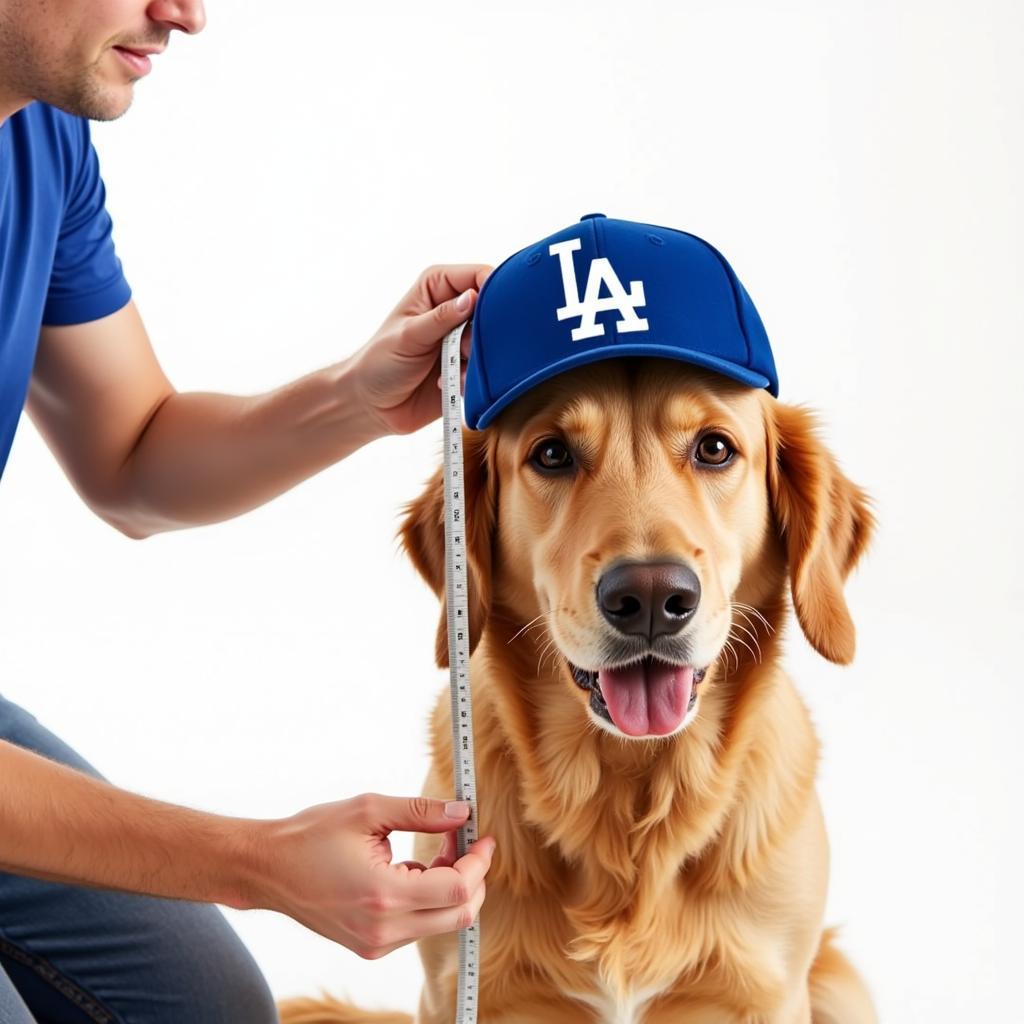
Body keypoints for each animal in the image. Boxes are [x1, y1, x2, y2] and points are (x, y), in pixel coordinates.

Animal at [276, 354, 876, 1024]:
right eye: (553, 454)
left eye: (715, 448)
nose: (650, 598)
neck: (625, 791)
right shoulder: (456, 988)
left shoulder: (768, 991)